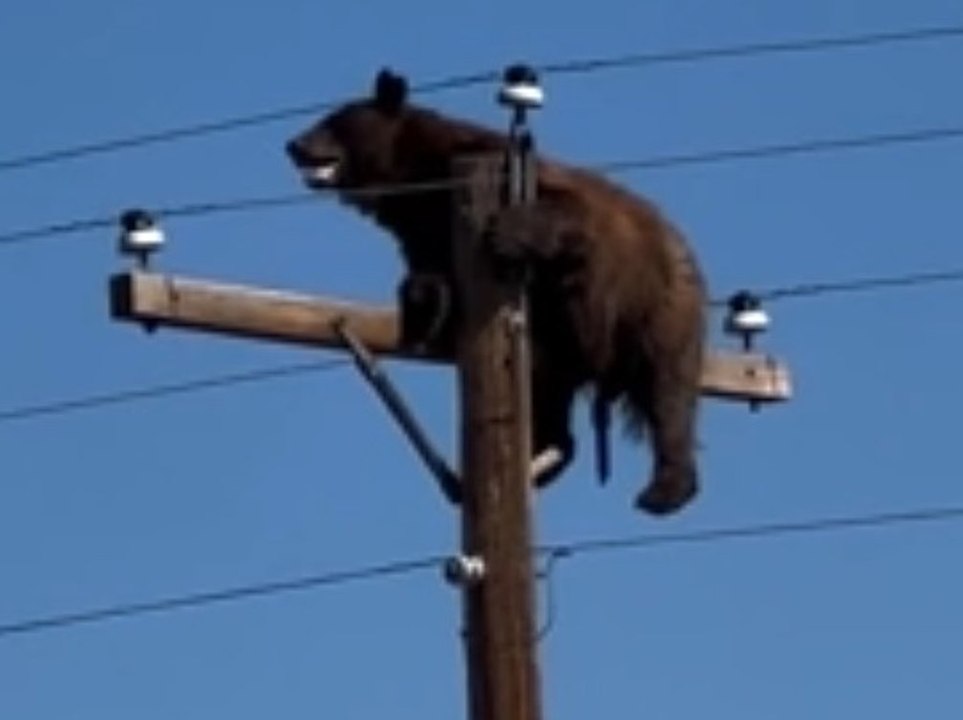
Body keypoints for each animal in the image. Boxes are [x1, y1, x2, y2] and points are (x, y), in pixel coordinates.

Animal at [286, 68, 708, 516]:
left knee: (668, 391)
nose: (294, 144)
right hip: (558, 347)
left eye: (334, 120)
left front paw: (508, 234)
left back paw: (665, 488)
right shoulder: (423, 226)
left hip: (655, 305)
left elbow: (564, 210)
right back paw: (545, 455)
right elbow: (431, 272)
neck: (416, 181)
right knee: (551, 398)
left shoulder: (509, 172)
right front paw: (423, 303)